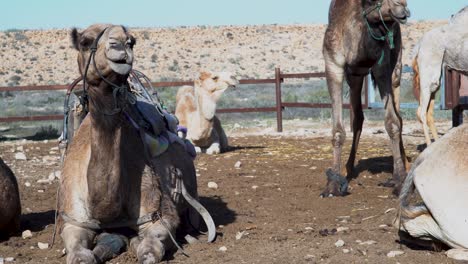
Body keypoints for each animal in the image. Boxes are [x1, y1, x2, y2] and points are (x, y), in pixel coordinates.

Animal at [59, 23, 205, 262]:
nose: (120, 43)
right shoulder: (74, 219)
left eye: (133, 41)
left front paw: (135, 242)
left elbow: (149, 252)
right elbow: (80, 255)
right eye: (85, 42)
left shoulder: (159, 214)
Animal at [322, 0, 410, 196]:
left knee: (399, 117)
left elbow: (392, 123)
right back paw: (348, 168)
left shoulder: (382, 66)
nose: (402, 7)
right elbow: (338, 131)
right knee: (358, 118)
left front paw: (399, 180)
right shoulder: (333, 64)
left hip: (396, 68)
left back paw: (405, 167)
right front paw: (333, 185)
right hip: (355, 76)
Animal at [414, 6, 468, 146]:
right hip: (428, 76)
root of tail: (419, 45)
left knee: (428, 113)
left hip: (435, 82)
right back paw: (429, 145)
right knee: (421, 112)